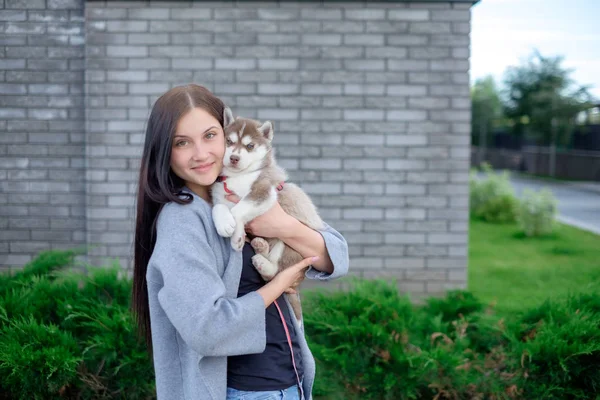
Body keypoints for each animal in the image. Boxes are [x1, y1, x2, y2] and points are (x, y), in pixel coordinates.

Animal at [211, 108, 324, 320]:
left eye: (250, 146)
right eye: (228, 141)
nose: (234, 158)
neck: (238, 176)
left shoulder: (263, 191)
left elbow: (238, 209)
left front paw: (237, 237)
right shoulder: (219, 194)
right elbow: (219, 208)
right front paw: (225, 225)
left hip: (289, 243)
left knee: (277, 273)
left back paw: (265, 263)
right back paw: (260, 247)